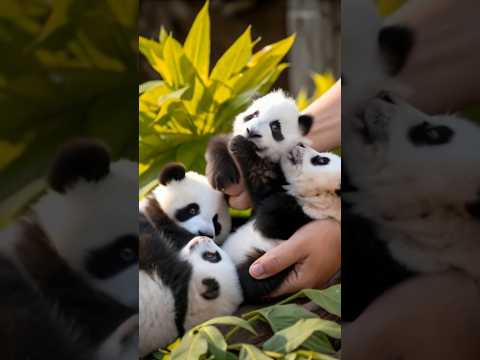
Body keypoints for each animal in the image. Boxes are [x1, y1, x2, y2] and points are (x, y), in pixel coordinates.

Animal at [222, 144, 342, 304]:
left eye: (322, 160)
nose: (301, 144)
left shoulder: (301, 219)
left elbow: (269, 220)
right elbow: (263, 186)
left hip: (261, 263)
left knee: (249, 281)